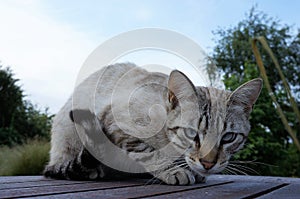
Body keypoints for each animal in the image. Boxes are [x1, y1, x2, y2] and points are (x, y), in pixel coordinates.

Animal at [44, 63, 262, 185]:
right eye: (192, 134)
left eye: (228, 137)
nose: (208, 164)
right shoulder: (115, 123)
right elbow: (150, 152)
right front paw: (173, 170)